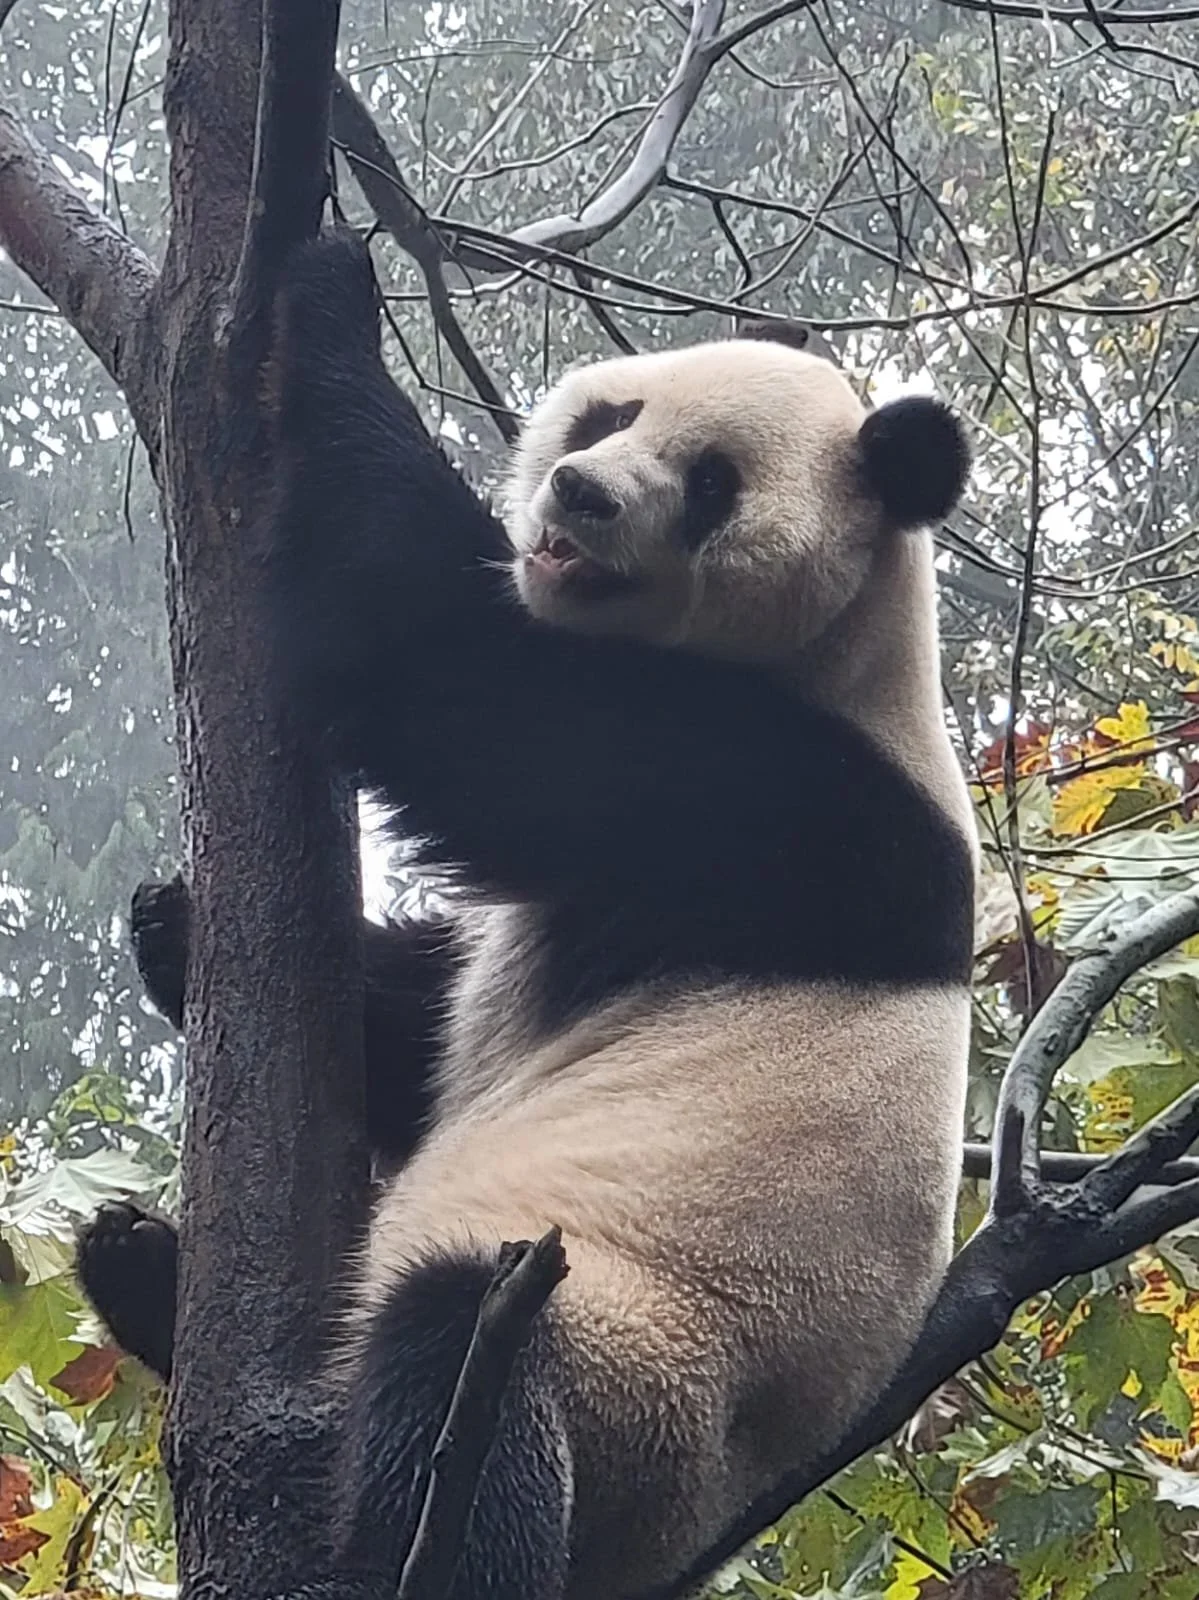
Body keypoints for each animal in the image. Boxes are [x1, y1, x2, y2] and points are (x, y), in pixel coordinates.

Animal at [78, 231, 976, 1600]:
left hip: (630, 1361)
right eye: (612, 415)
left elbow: (447, 667)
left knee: (458, 1361)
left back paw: (408, 1546)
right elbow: (423, 1039)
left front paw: (329, 300)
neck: (850, 648)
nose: (580, 492)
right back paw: (138, 1262)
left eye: (708, 484)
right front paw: (172, 922)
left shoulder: (771, 805)